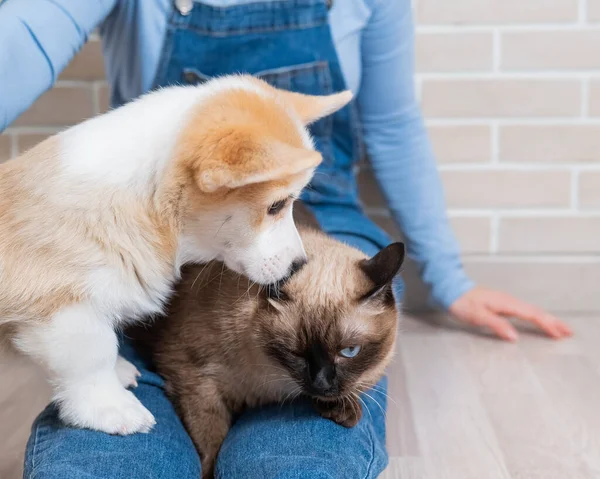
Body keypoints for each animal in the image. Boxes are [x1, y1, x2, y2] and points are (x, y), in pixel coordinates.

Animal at [0, 74, 352, 436]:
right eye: (276, 206)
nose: (300, 266)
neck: (144, 199)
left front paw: (119, 371)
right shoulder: (62, 307)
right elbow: (93, 356)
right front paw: (111, 408)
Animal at [132, 204, 404, 478]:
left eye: (349, 351)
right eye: (296, 352)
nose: (321, 384)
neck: (272, 381)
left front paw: (343, 410)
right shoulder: (195, 381)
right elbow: (211, 445)